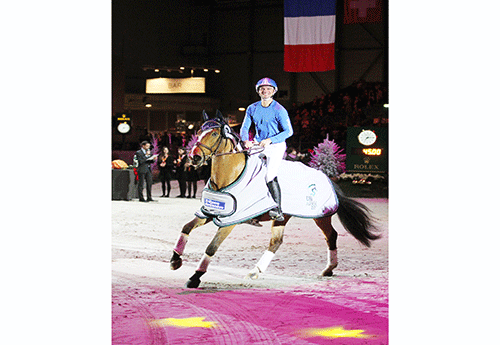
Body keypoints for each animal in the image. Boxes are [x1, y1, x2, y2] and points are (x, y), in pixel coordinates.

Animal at [169, 110, 378, 288]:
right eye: (198, 132)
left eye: (213, 134)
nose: (194, 157)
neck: (228, 176)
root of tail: (327, 177)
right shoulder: (209, 212)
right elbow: (186, 228)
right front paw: (175, 260)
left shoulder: (230, 221)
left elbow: (211, 247)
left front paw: (195, 277)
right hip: (283, 218)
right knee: (276, 242)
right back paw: (256, 271)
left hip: (320, 216)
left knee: (331, 236)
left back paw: (328, 269)